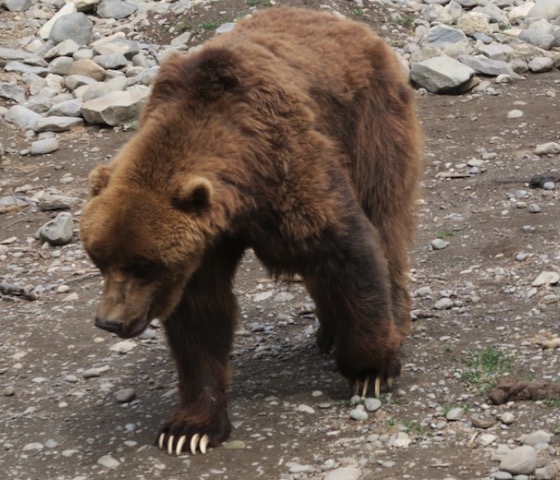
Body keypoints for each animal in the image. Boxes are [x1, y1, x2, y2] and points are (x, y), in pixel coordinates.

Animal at [79, 8, 420, 458]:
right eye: (99, 260)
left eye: (144, 264)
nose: (109, 322)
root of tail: (347, 23)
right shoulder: (205, 243)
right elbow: (201, 319)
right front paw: (189, 429)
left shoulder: (287, 165)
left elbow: (349, 249)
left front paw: (371, 370)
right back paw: (329, 330)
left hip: (371, 125)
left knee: (385, 220)